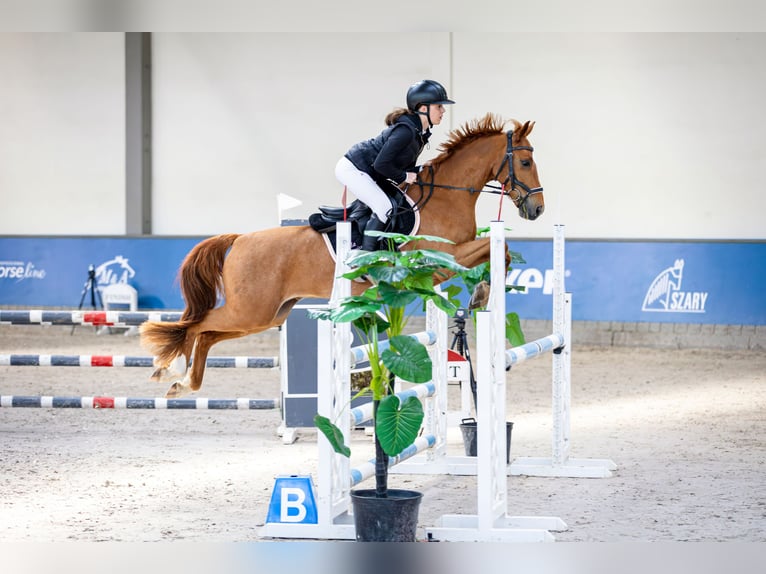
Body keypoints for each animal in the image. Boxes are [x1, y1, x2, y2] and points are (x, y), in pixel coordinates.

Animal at [140, 113, 545, 398]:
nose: (537, 209)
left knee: (206, 333)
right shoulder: (439, 261)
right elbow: (495, 250)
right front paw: (481, 295)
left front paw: (480, 295)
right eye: (525, 163)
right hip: (250, 310)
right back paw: (171, 372)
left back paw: (182, 383)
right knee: (195, 325)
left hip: (266, 315)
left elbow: (500, 252)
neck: (447, 196)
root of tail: (238, 240)